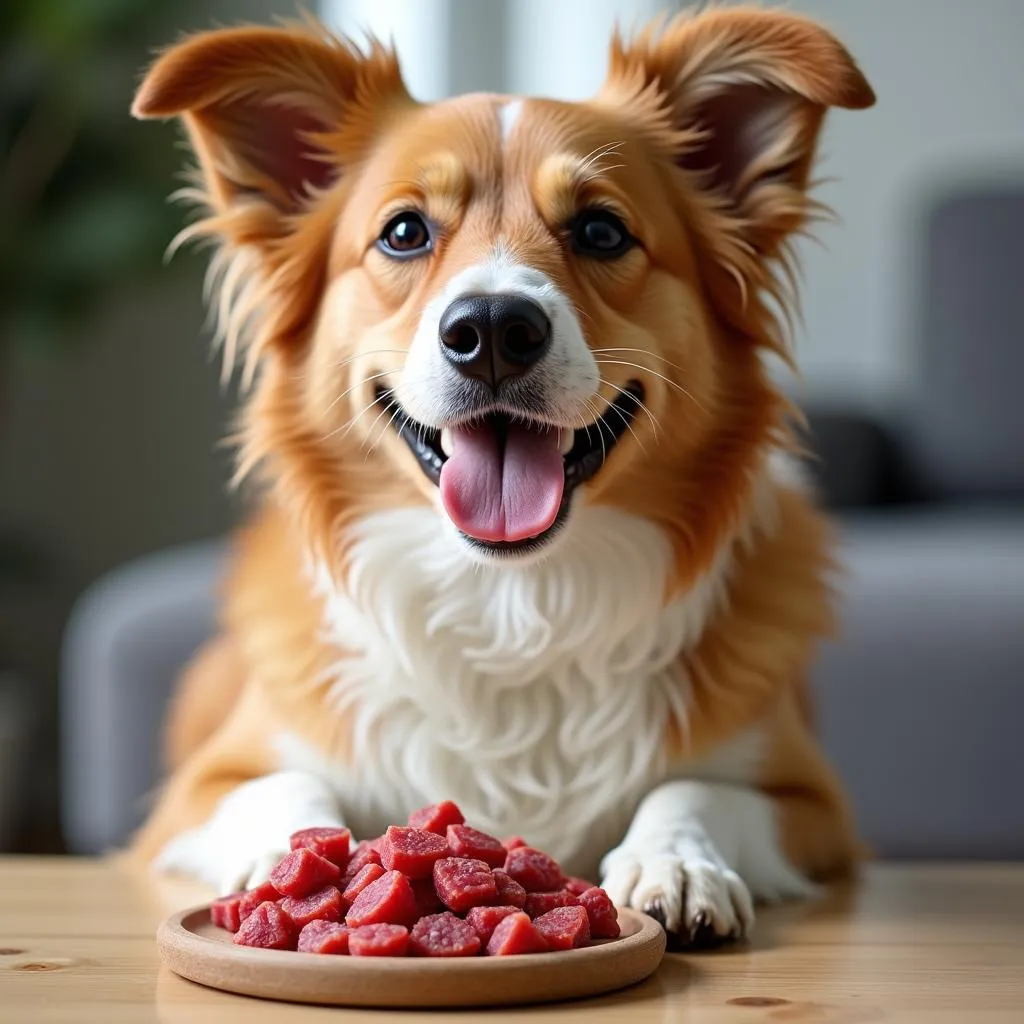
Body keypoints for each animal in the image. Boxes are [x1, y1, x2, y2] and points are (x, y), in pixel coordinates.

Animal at [130, 4, 872, 946]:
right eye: (404, 232)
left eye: (602, 230)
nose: (490, 328)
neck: (513, 604)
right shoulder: (195, 794)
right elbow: (279, 786)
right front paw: (288, 866)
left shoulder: (815, 805)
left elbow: (697, 789)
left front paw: (675, 861)